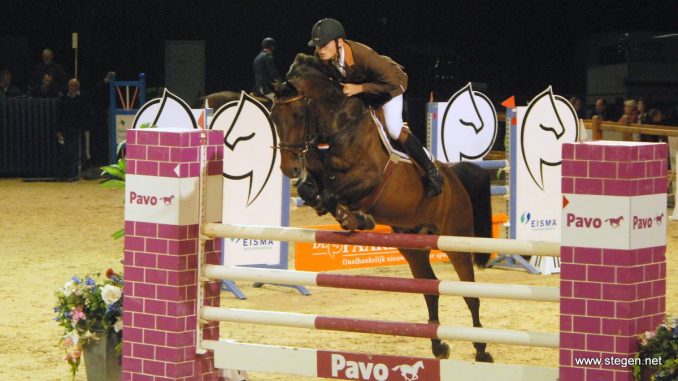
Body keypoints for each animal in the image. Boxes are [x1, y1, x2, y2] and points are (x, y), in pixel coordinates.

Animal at [270, 53, 494, 362]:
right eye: (273, 117)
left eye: (298, 116)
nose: (288, 168)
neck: (336, 126)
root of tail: (454, 177)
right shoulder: (316, 175)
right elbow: (313, 192)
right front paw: (352, 219)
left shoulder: (370, 178)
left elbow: (331, 194)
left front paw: (356, 218)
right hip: (412, 246)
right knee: (430, 289)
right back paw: (439, 346)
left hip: (456, 240)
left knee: (470, 294)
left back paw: (482, 350)